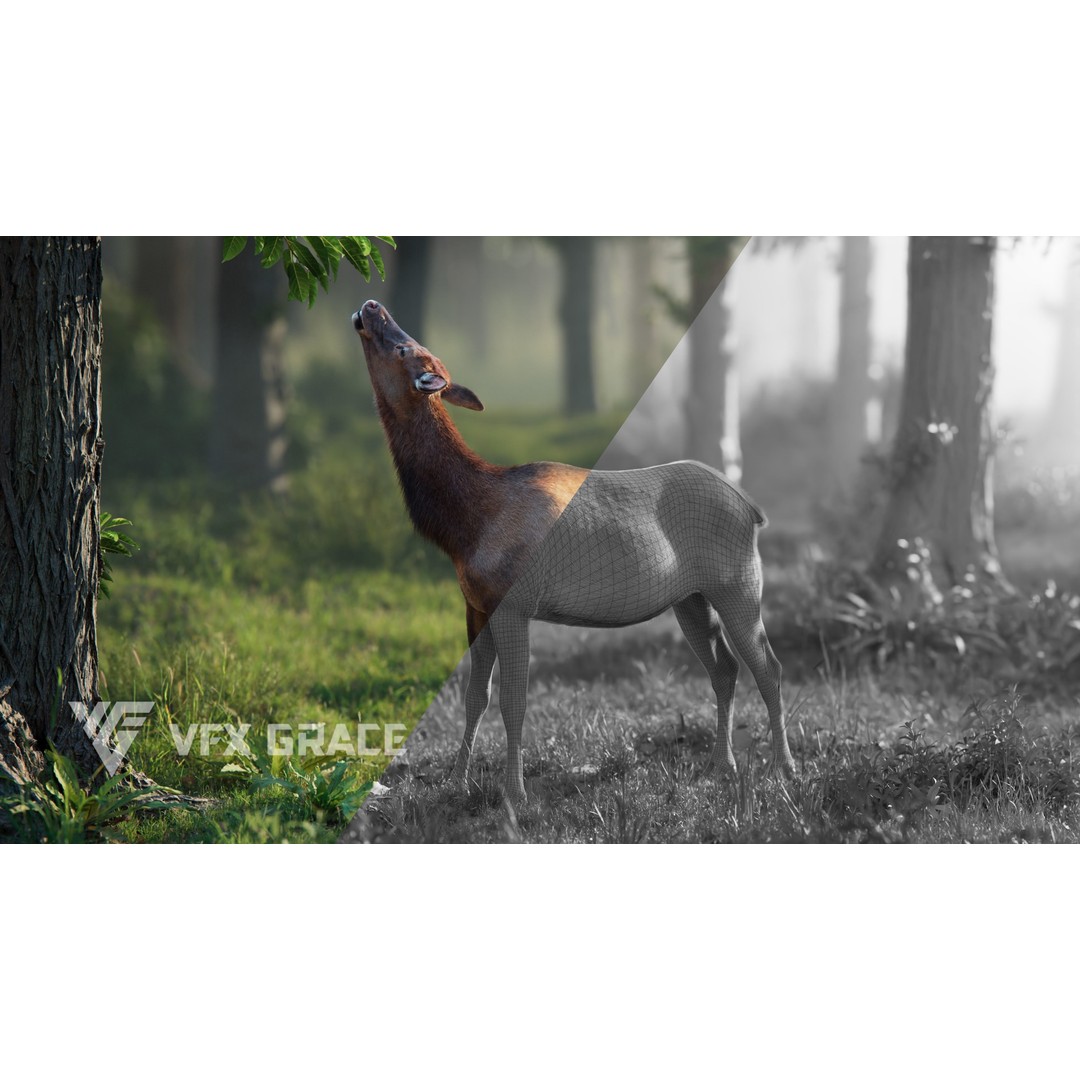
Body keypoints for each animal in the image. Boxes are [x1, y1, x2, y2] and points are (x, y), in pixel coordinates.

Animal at [353, 299, 795, 803]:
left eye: (405, 348)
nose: (371, 305)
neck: (463, 527)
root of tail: (754, 510)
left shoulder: (514, 602)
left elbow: (513, 700)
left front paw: (514, 794)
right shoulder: (476, 604)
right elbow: (474, 696)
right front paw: (457, 782)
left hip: (738, 580)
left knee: (769, 665)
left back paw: (782, 767)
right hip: (691, 597)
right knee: (724, 668)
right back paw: (724, 764)